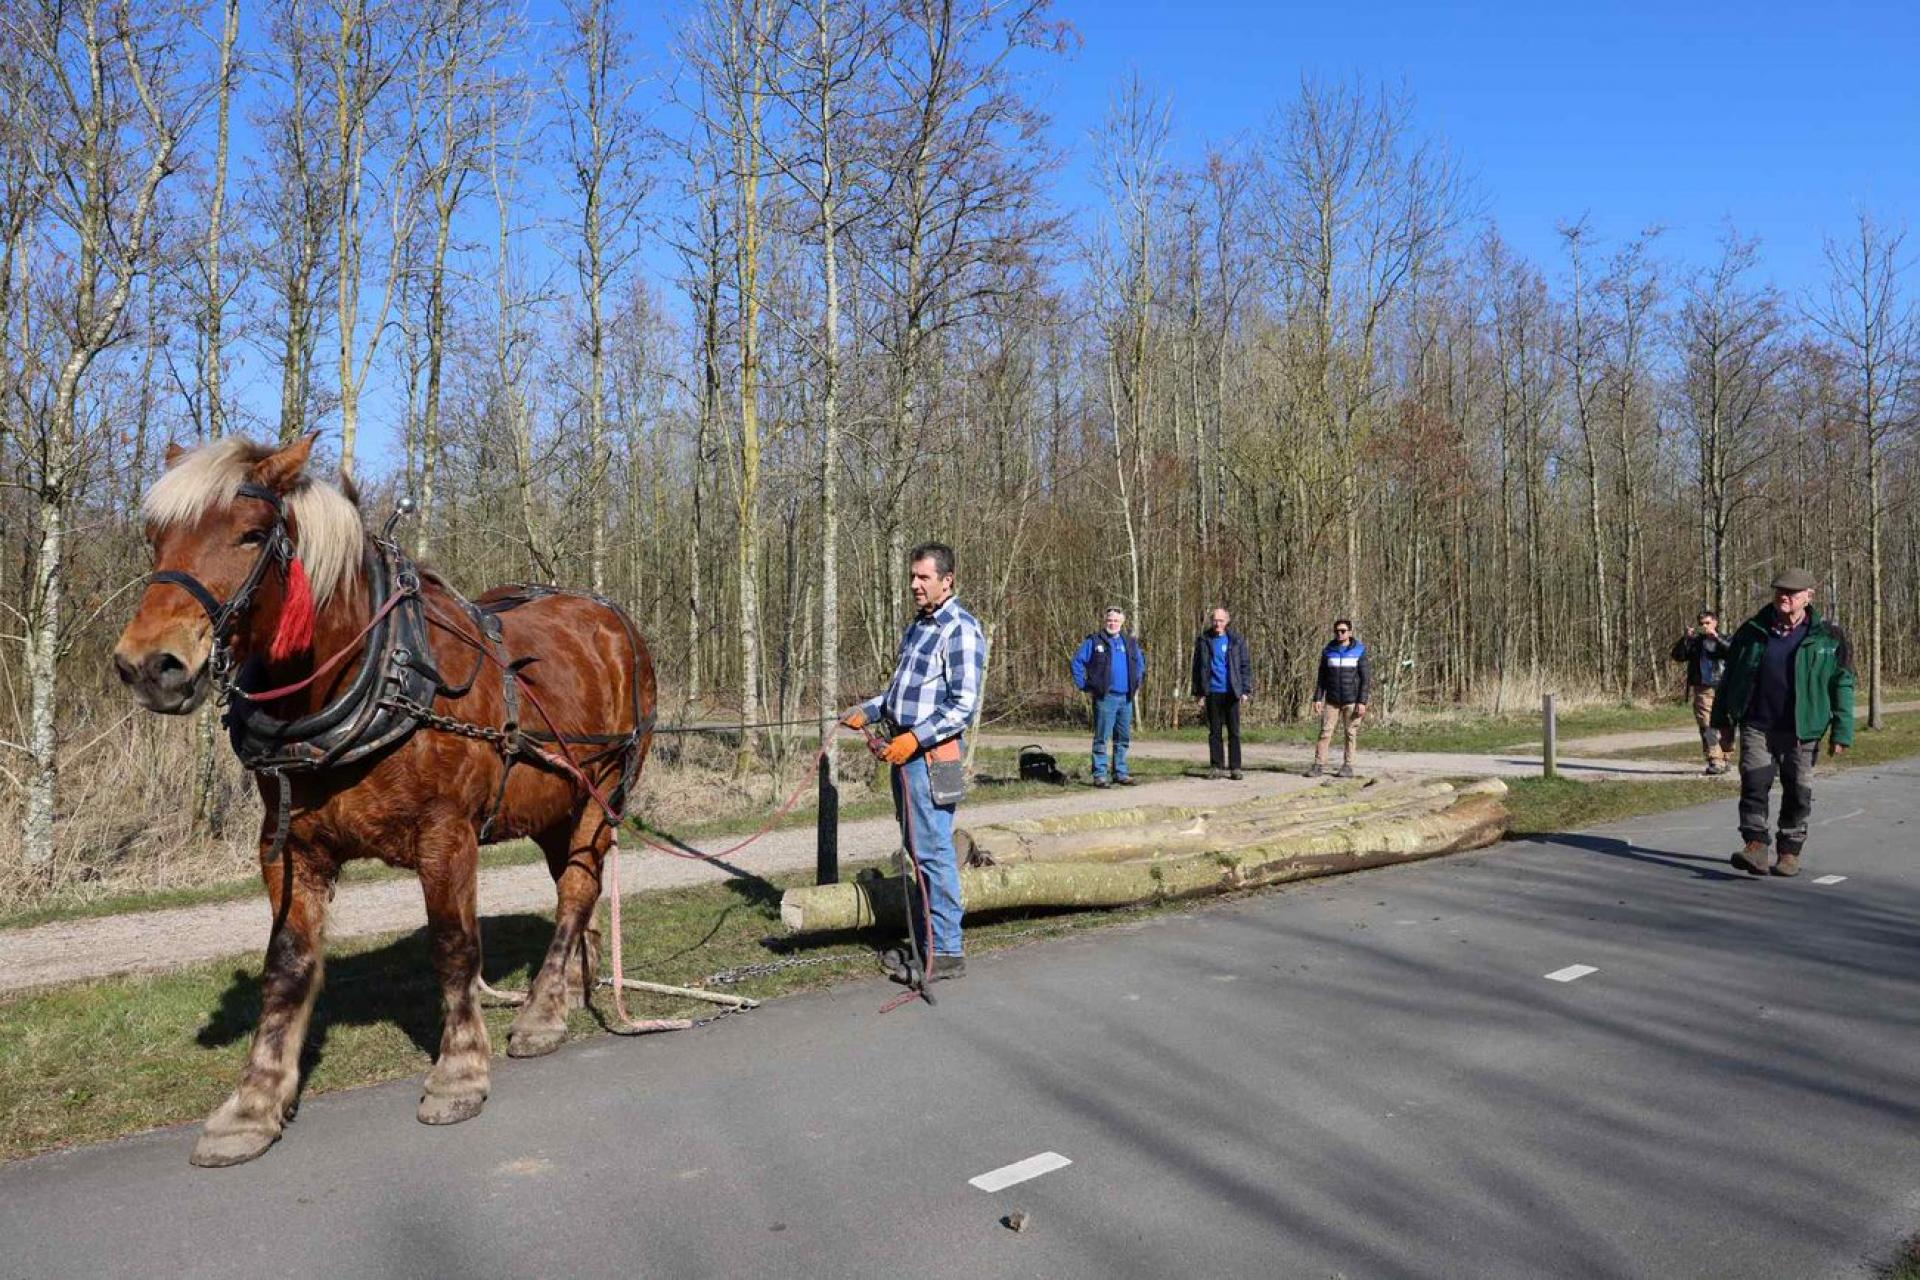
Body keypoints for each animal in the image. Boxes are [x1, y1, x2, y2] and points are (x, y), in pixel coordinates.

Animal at [112, 435, 656, 1166]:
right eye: (155, 537)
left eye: (251, 534)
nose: (149, 665)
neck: (373, 678)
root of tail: (610, 619)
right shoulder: (289, 848)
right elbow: (286, 966)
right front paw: (253, 1104)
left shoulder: (446, 835)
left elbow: (454, 947)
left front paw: (459, 1072)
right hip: (553, 805)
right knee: (581, 886)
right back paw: (570, 986)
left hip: (607, 785)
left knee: (575, 890)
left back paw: (542, 1012)